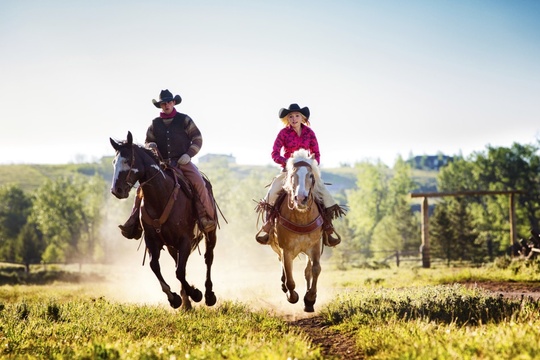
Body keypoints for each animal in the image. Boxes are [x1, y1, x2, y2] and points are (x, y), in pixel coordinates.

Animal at [109, 132, 217, 310]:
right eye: (114, 162)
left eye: (127, 160)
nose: (116, 190)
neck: (161, 196)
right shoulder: (152, 240)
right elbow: (156, 266)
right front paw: (174, 298)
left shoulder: (185, 239)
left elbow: (179, 272)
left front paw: (196, 294)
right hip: (172, 246)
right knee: (178, 263)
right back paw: (186, 303)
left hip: (210, 234)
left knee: (208, 258)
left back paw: (208, 295)